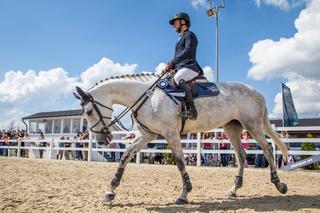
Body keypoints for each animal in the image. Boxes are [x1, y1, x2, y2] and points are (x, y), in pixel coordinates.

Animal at [74, 73, 288, 205]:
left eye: (89, 111)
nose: (102, 140)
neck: (147, 98)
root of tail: (256, 91)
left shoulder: (171, 133)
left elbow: (179, 162)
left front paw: (184, 194)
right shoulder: (147, 135)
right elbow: (125, 156)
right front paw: (110, 192)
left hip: (253, 126)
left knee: (268, 150)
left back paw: (279, 184)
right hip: (232, 127)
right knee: (242, 157)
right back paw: (233, 190)